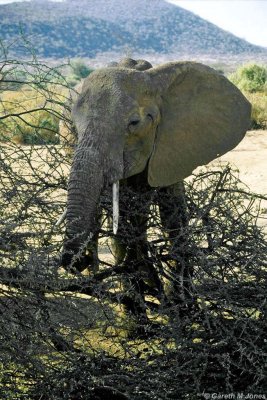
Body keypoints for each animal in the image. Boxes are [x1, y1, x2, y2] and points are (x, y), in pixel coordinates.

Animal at [60, 57, 251, 322]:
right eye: (74, 127)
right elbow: (126, 221)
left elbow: (171, 214)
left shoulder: (172, 142)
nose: (78, 263)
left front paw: (182, 308)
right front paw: (137, 316)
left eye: (134, 123)